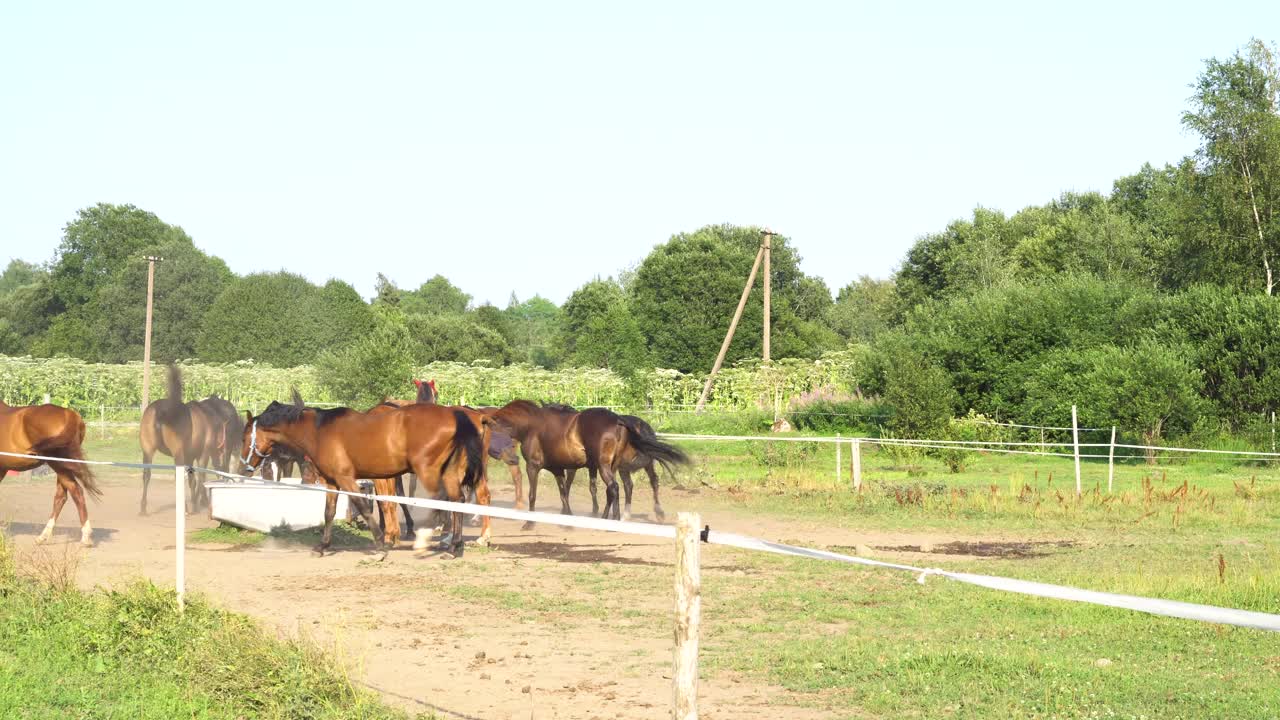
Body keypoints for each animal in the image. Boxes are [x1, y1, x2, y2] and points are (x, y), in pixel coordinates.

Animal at [0, 397, 101, 543]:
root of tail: (69, 414)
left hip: (58, 463)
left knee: (76, 491)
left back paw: (85, 537)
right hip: (63, 466)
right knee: (61, 495)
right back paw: (44, 536)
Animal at [244, 392, 488, 556]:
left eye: (246, 437)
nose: (246, 465)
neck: (319, 431)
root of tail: (458, 415)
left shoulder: (346, 479)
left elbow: (363, 507)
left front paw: (380, 543)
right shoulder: (332, 481)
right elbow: (329, 512)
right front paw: (322, 546)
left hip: (429, 471)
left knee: (442, 500)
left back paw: (430, 539)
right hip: (449, 472)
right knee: (457, 500)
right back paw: (454, 546)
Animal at [488, 397, 691, 520]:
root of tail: (621, 421)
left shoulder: (563, 467)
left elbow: (562, 488)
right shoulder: (586, 466)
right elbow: (586, 488)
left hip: (615, 466)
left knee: (619, 487)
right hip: (619, 466)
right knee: (625, 486)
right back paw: (620, 515)